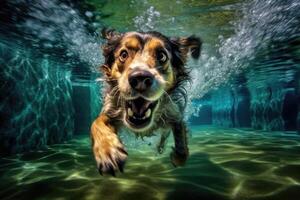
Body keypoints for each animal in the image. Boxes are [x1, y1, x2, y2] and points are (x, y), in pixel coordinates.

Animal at [90, 28, 200, 176]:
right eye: (123, 54)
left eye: (162, 56)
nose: (140, 78)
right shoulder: (112, 111)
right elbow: (96, 123)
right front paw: (108, 150)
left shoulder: (175, 115)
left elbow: (180, 138)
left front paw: (177, 157)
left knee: (164, 136)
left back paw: (160, 147)